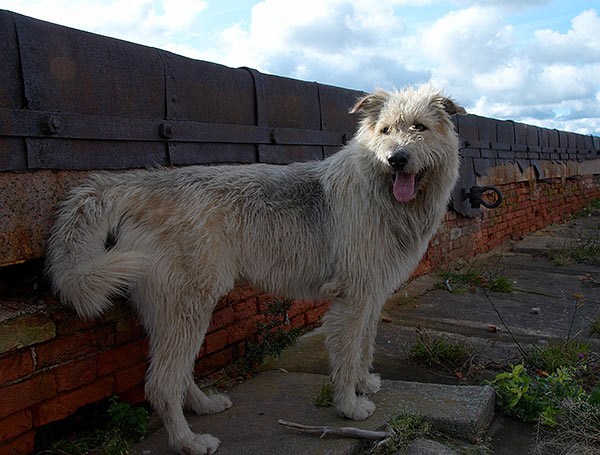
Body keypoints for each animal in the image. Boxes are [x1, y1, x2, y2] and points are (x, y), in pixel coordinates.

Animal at [48, 85, 464, 455]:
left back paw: (204, 406)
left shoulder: (371, 296)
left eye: (419, 128)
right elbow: (346, 354)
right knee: (161, 384)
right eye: (386, 130)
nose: (396, 159)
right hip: (189, 305)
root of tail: (140, 183)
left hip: (174, 309)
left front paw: (365, 382)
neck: (379, 188)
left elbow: (364, 345)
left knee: (176, 374)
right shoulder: (352, 299)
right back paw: (188, 443)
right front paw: (350, 406)